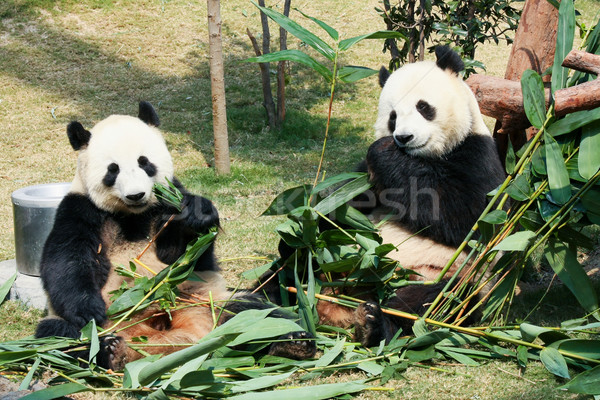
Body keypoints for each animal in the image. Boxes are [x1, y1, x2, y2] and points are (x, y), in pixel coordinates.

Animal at [36, 102, 318, 368]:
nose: (136, 195)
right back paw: (110, 351)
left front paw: (196, 216)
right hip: (84, 326)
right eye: (112, 169)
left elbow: (184, 255)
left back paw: (293, 342)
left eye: (144, 162)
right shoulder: (82, 209)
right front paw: (89, 309)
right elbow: (67, 260)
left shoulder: (168, 203)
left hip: (209, 301)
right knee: (61, 336)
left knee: (257, 313)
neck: (133, 215)